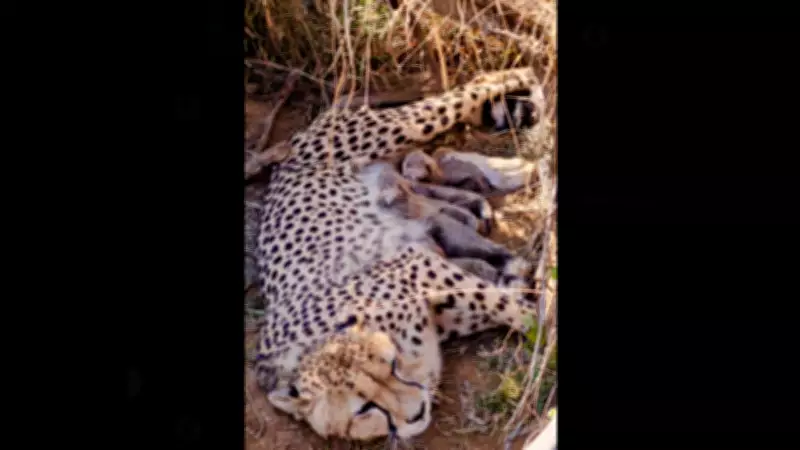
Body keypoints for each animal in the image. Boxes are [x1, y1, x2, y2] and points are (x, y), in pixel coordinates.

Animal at [252, 67, 544, 442]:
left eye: (392, 366)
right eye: (364, 409)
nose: (417, 412)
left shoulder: (416, 266)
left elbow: (503, 303)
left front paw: (545, 325)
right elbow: (498, 297)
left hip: (397, 128)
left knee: (472, 89)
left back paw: (525, 79)